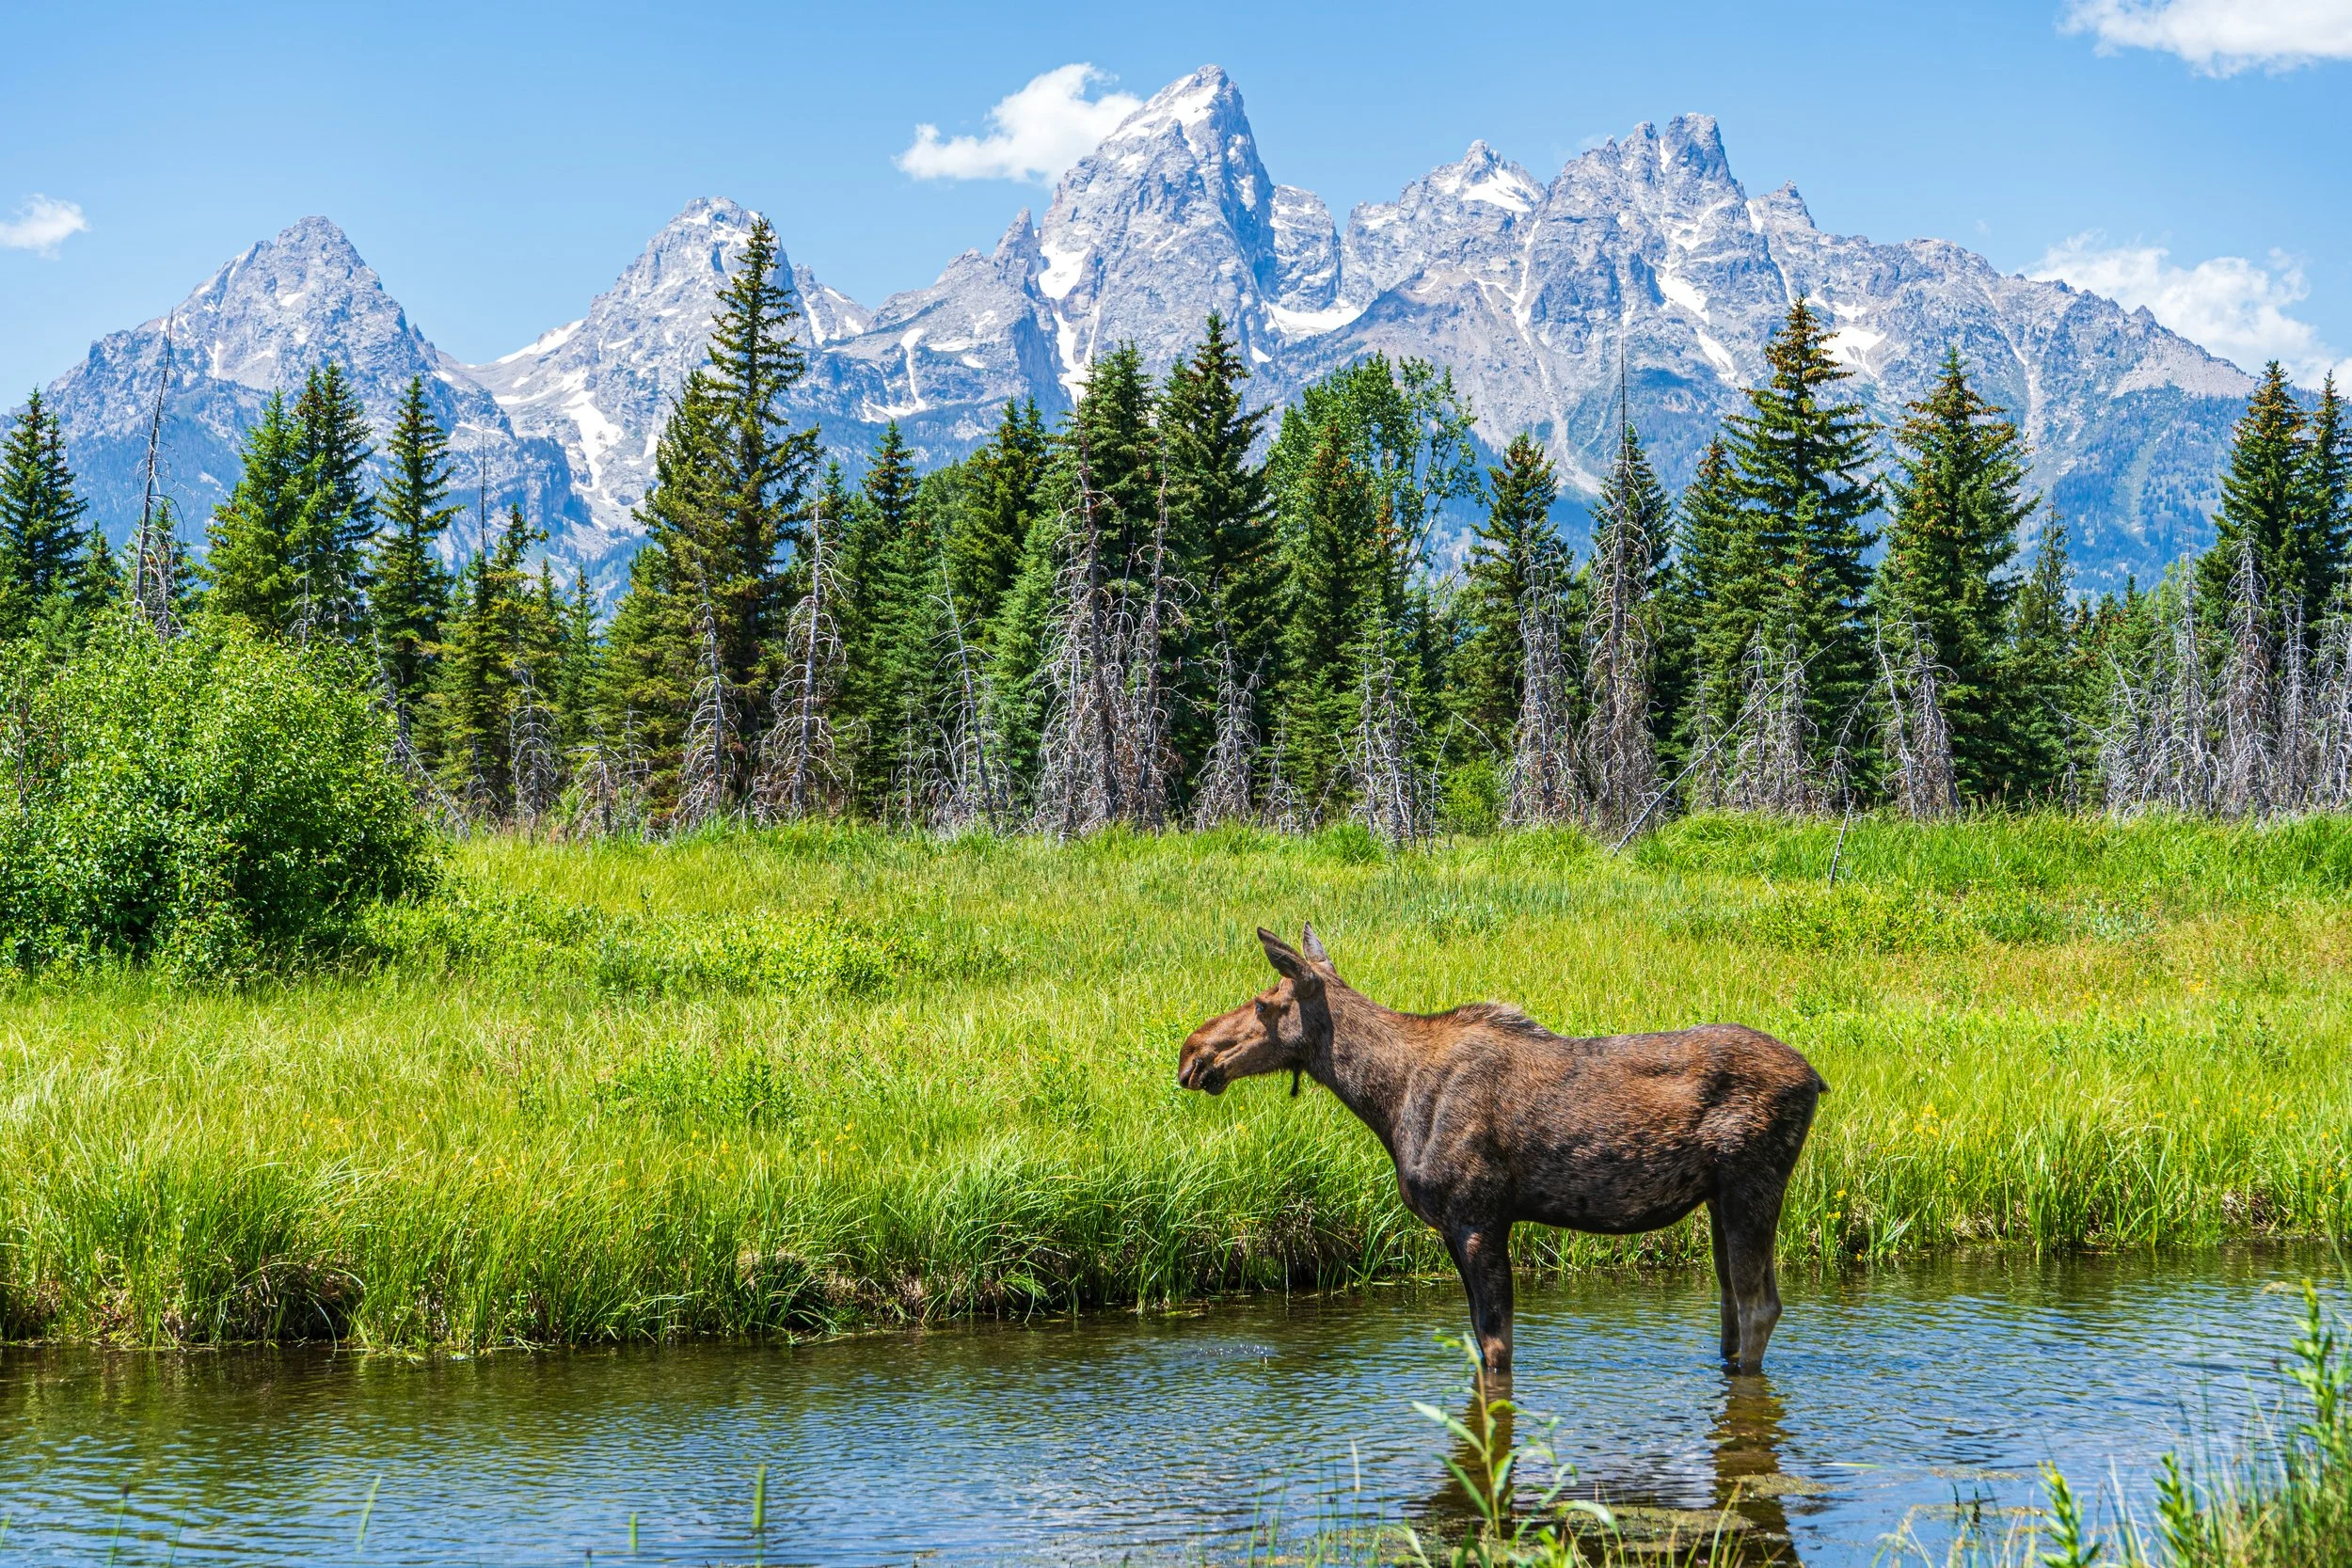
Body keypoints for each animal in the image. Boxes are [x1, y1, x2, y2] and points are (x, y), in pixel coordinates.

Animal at [1176, 925, 1827, 1376]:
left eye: (1264, 1004)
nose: (1191, 1051)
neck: (1386, 1101)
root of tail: (1817, 1081)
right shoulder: (1458, 1226)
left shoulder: (1477, 1216)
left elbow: (1495, 1347)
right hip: (1720, 1198)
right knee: (1730, 1308)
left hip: (1752, 1183)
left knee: (1760, 1306)